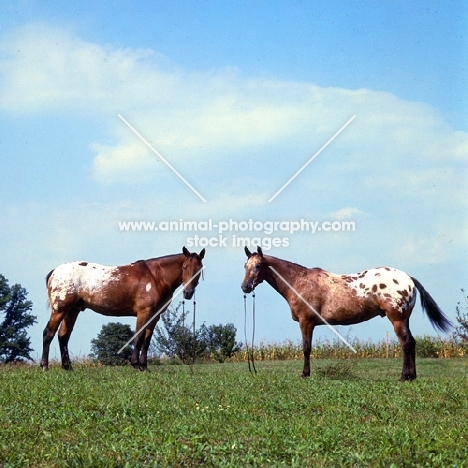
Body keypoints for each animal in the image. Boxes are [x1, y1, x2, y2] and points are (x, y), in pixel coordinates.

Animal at [41, 247, 206, 372]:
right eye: (184, 267)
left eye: (199, 269)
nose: (188, 293)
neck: (155, 276)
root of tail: (55, 271)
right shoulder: (143, 312)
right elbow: (139, 337)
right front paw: (136, 365)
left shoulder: (155, 315)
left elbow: (147, 340)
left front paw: (144, 366)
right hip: (60, 310)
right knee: (48, 333)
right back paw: (44, 366)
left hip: (72, 310)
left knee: (63, 336)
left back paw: (67, 367)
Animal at [239, 245, 452, 380]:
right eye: (245, 266)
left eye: (258, 266)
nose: (245, 287)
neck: (298, 282)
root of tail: (408, 278)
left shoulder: (306, 322)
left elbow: (306, 349)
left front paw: (305, 374)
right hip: (404, 319)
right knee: (411, 343)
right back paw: (411, 376)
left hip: (397, 319)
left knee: (406, 343)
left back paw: (403, 377)